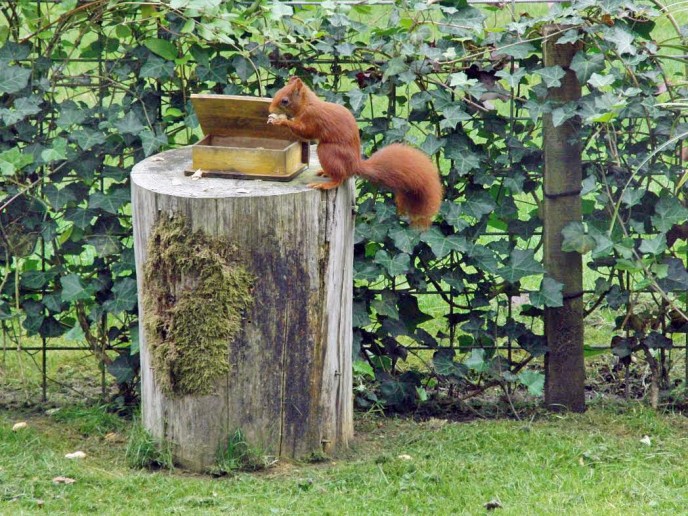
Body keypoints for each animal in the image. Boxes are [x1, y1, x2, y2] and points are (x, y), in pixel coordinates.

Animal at [266, 76, 444, 228]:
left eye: (285, 101)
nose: (269, 109)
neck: (307, 104)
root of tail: (355, 165)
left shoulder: (313, 118)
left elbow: (305, 132)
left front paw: (281, 121)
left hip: (328, 151)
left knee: (340, 177)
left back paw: (328, 183)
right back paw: (324, 172)